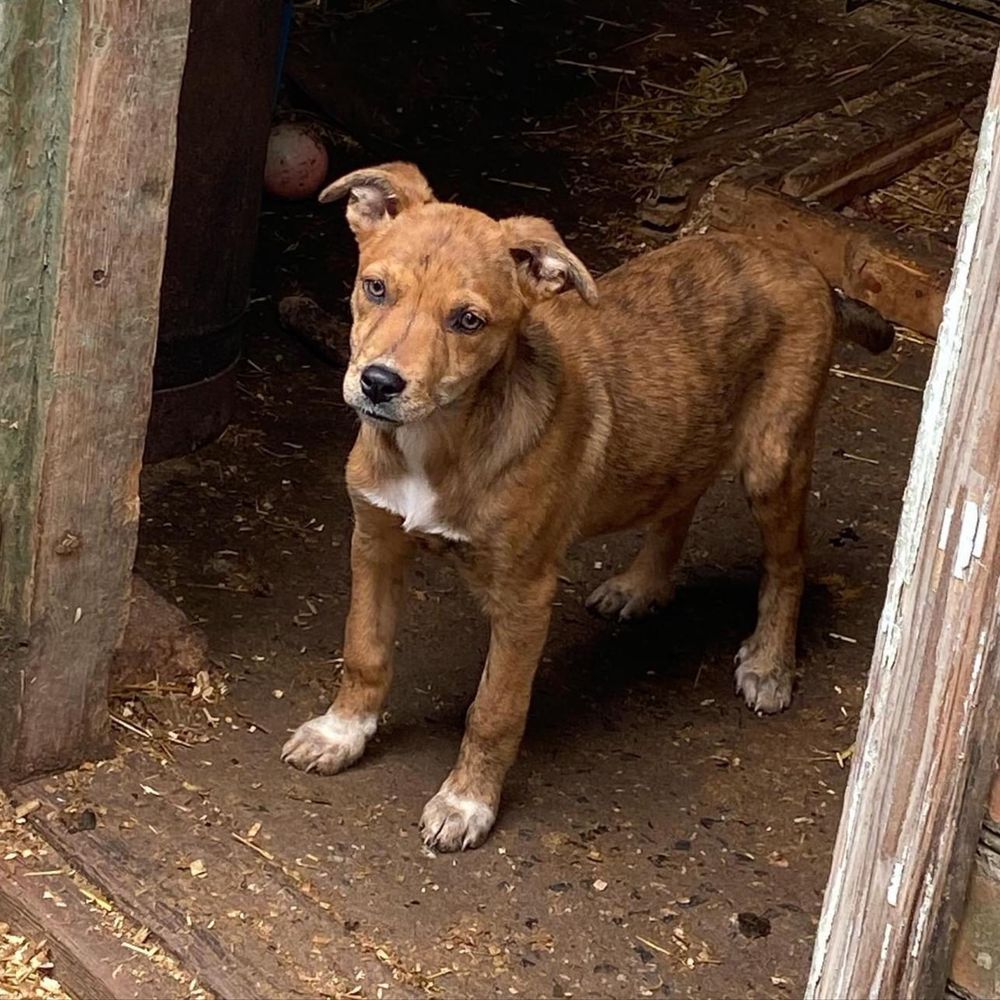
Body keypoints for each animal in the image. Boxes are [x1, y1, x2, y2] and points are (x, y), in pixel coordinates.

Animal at [280, 162, 892, 852]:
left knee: (788, 563)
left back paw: (768, 661)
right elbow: (365, 650)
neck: (439, 441)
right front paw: (342, 733)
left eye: (469, 321)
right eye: (375, 287)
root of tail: (808, 269)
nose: (379, 384)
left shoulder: (524, 595)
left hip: (772, 458)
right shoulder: (375, 541)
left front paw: (467, 802)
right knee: (680, 499)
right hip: (688, 431)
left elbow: (494, 710)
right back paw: (641, 585)